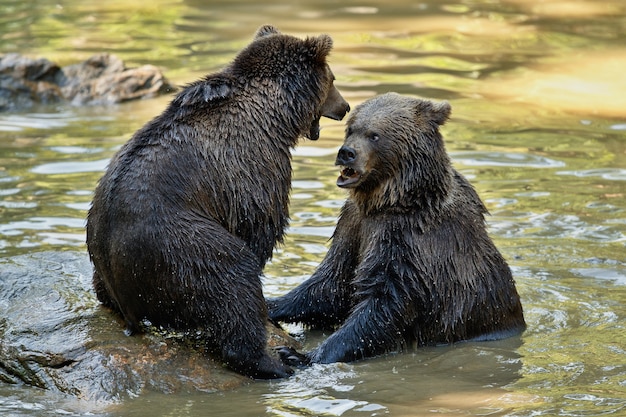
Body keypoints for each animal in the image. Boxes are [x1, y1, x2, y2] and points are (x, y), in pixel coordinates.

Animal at [86, 24, 352, 378]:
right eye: (333, 79)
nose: (345, 107)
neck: (278, 114)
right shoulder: (253, 164)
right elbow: (259, 222)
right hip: (179, 247)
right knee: (231, 281)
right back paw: (273, 362)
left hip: (101, 248)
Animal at [266, 92, 524, 364]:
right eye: (351, 129)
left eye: (374, 135)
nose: (346, 152)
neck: (391, 199)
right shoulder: (353, 227)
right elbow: (332, 283)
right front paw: (271, 303)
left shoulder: (408, 239)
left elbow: (385, 304)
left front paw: (300, 355)